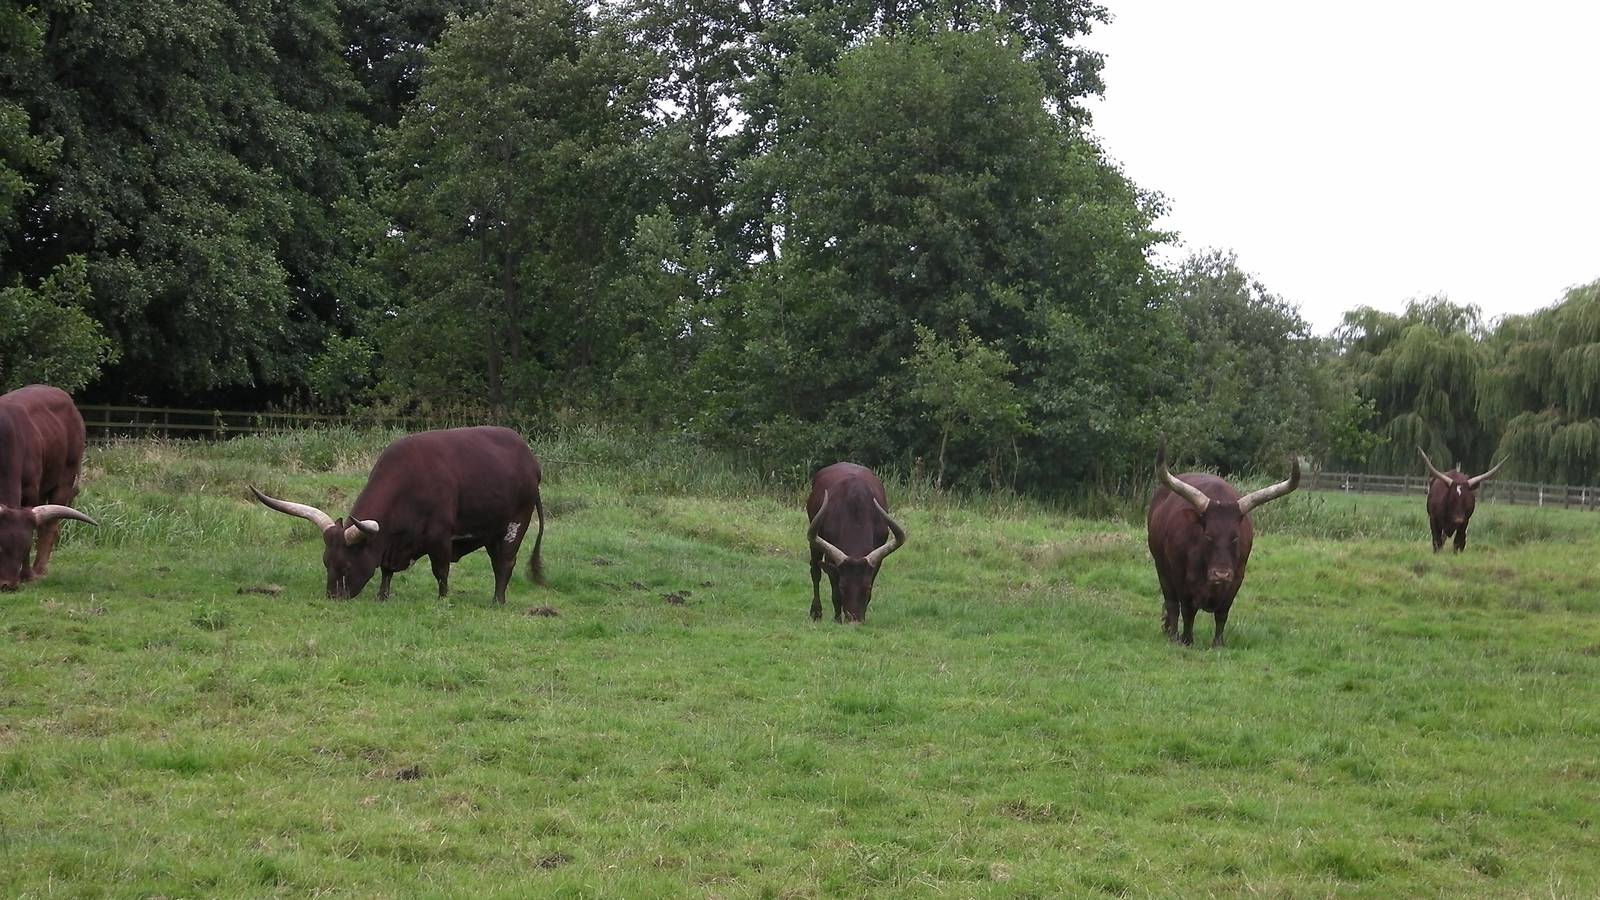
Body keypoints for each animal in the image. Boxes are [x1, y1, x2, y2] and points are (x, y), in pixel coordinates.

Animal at [0, 385, 99, 591]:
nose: (7, 585)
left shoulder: (31, 491)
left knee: (50, 526)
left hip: (64, 481)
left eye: (24, 547)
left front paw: (27, 575)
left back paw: (40, 569)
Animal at [250, 426, 545, 603]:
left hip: (515, 524)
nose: (333, 597)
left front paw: (443, 598)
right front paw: (383, 595)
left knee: (504, 563)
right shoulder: (391, 544)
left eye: (346, 566)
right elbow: (386, 569)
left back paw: (498, 600)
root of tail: (530, 459)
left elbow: (441, 570)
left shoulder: (440, 537)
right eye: (326, 563)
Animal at [806, 463, 907, 624]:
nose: (854, 621)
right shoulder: (831, 559)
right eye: (842, 586)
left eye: (867, 587)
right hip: (814, 541)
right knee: (815, 571)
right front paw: (837, 619)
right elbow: (834, 589)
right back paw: (816, 612)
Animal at [1146, 438, 1300, 647]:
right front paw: (1187, 640)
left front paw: (1218, 643)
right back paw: (1173, 634)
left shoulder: (1236, 579)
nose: (1221, 574)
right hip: (1161, 567)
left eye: (1235, 537)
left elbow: (1222, 613)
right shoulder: (1181, 577)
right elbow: (1187, 611)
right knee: (1172, 604)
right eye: (1208, 535)